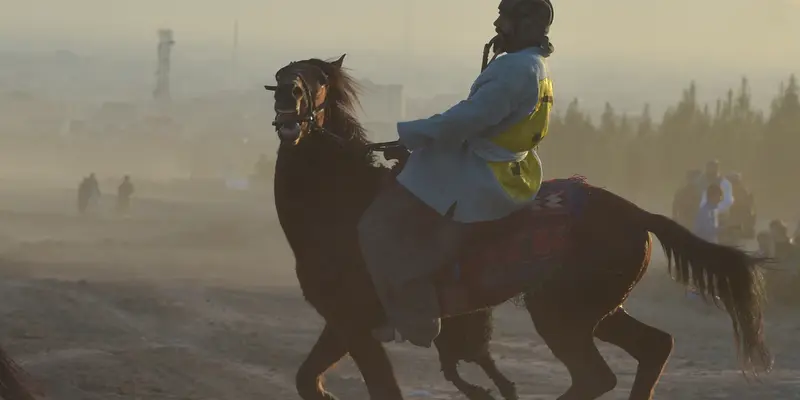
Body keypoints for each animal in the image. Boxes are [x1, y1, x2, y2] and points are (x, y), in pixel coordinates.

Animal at [266, 55, 772, 400]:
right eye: (284, 75)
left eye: (317, 81)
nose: (289, 99)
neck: (344, 205)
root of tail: (637, 214)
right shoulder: (343, 321)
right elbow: (307, 379)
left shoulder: (356, 320)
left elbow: (376, 387)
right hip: (597, 310)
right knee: (653, 348)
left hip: (561, 313)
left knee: (595, 375)